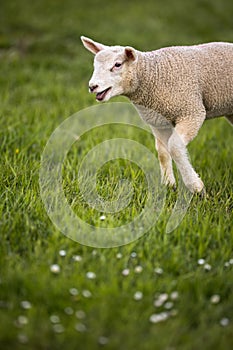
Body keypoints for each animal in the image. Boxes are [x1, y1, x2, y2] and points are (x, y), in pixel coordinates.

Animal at [80, 36, 233, 194]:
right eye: (95, 65)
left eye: (117, 65)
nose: (93, 86)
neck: (153, 75)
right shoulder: (159, 122)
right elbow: (162, 152)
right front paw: (169, 185)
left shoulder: (192, 112)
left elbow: (175, 147)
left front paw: (196, 187)